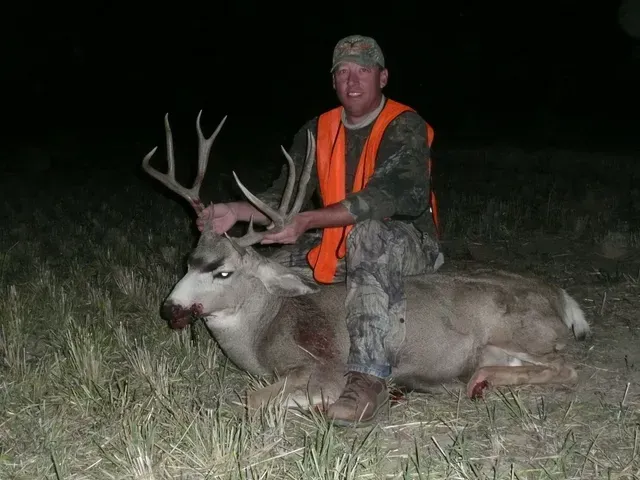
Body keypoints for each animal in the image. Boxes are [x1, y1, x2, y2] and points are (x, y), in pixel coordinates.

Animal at [142, 111, 590, 415]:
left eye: (223, 272)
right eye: (188, 261)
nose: (169, 309)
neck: (265, 331)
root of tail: (560, 296)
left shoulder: (321, 367)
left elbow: (254, 399)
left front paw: (315, 405)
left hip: (523, 331)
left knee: (568, 367)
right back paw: (474, 381)